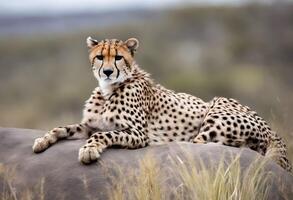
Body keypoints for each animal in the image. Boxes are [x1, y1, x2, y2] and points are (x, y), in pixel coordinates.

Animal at [32, 36, 290, 171]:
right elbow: (63, 127)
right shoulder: (89, 125)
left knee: (201, 142)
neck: (108, 90)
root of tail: (273, 131)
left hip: (218, 106)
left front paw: (89, 150)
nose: (107, 72)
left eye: (118, 57)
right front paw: (42, 140)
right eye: (99, 57)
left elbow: (103, 135)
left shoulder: (138, 134)